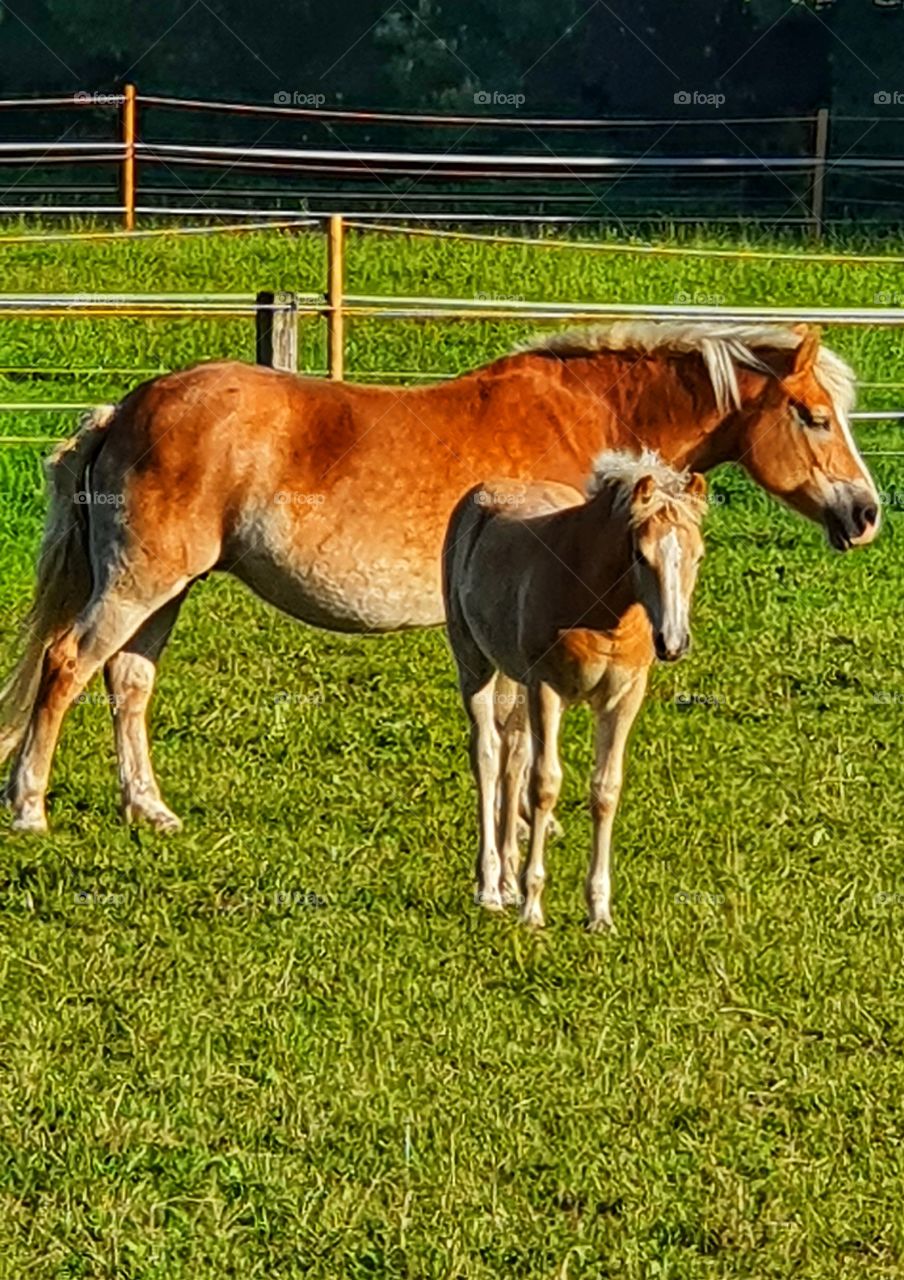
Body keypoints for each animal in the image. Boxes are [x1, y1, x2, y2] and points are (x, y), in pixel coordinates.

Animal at [0, 321, 878, 834]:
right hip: (140, 583)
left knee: (128, 684)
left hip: (165, 591)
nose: (866, 512)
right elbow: (523, 734)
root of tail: (127, 409)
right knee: (67, 666)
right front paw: (529, 830)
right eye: (814, 417)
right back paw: (30, 807)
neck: (584, 428)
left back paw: (149, 809)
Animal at [443, 452, 707, 929]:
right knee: (488, 757)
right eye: (641, 556)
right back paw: (491, 889)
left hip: (516, 682)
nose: (673, 642)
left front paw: (599, 912)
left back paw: (507, 882)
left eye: (698, 556)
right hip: (476, 665)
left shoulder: (623, 699)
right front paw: (532, 908)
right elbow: (545, 784)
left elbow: (605, 789)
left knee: (512, 759)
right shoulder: (547, 690)